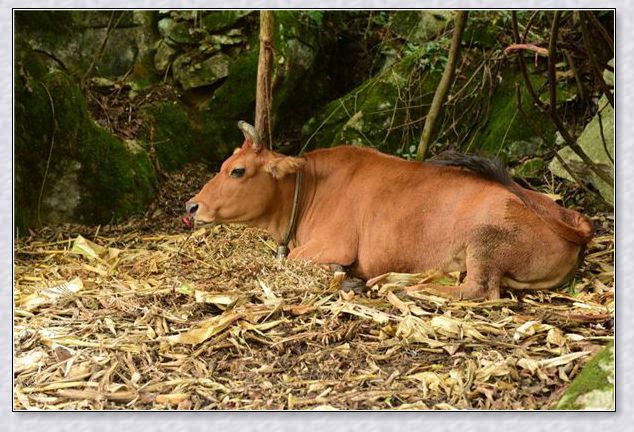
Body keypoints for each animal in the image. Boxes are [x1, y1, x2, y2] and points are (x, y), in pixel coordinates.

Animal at [185, 120, 592, 298]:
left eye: (237, 171)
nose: (192, 206)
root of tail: (569, 220)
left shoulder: (333, 245)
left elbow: (291, 262)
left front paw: (343, 275)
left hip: (484, 240)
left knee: (475, 291)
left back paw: (397, 287)